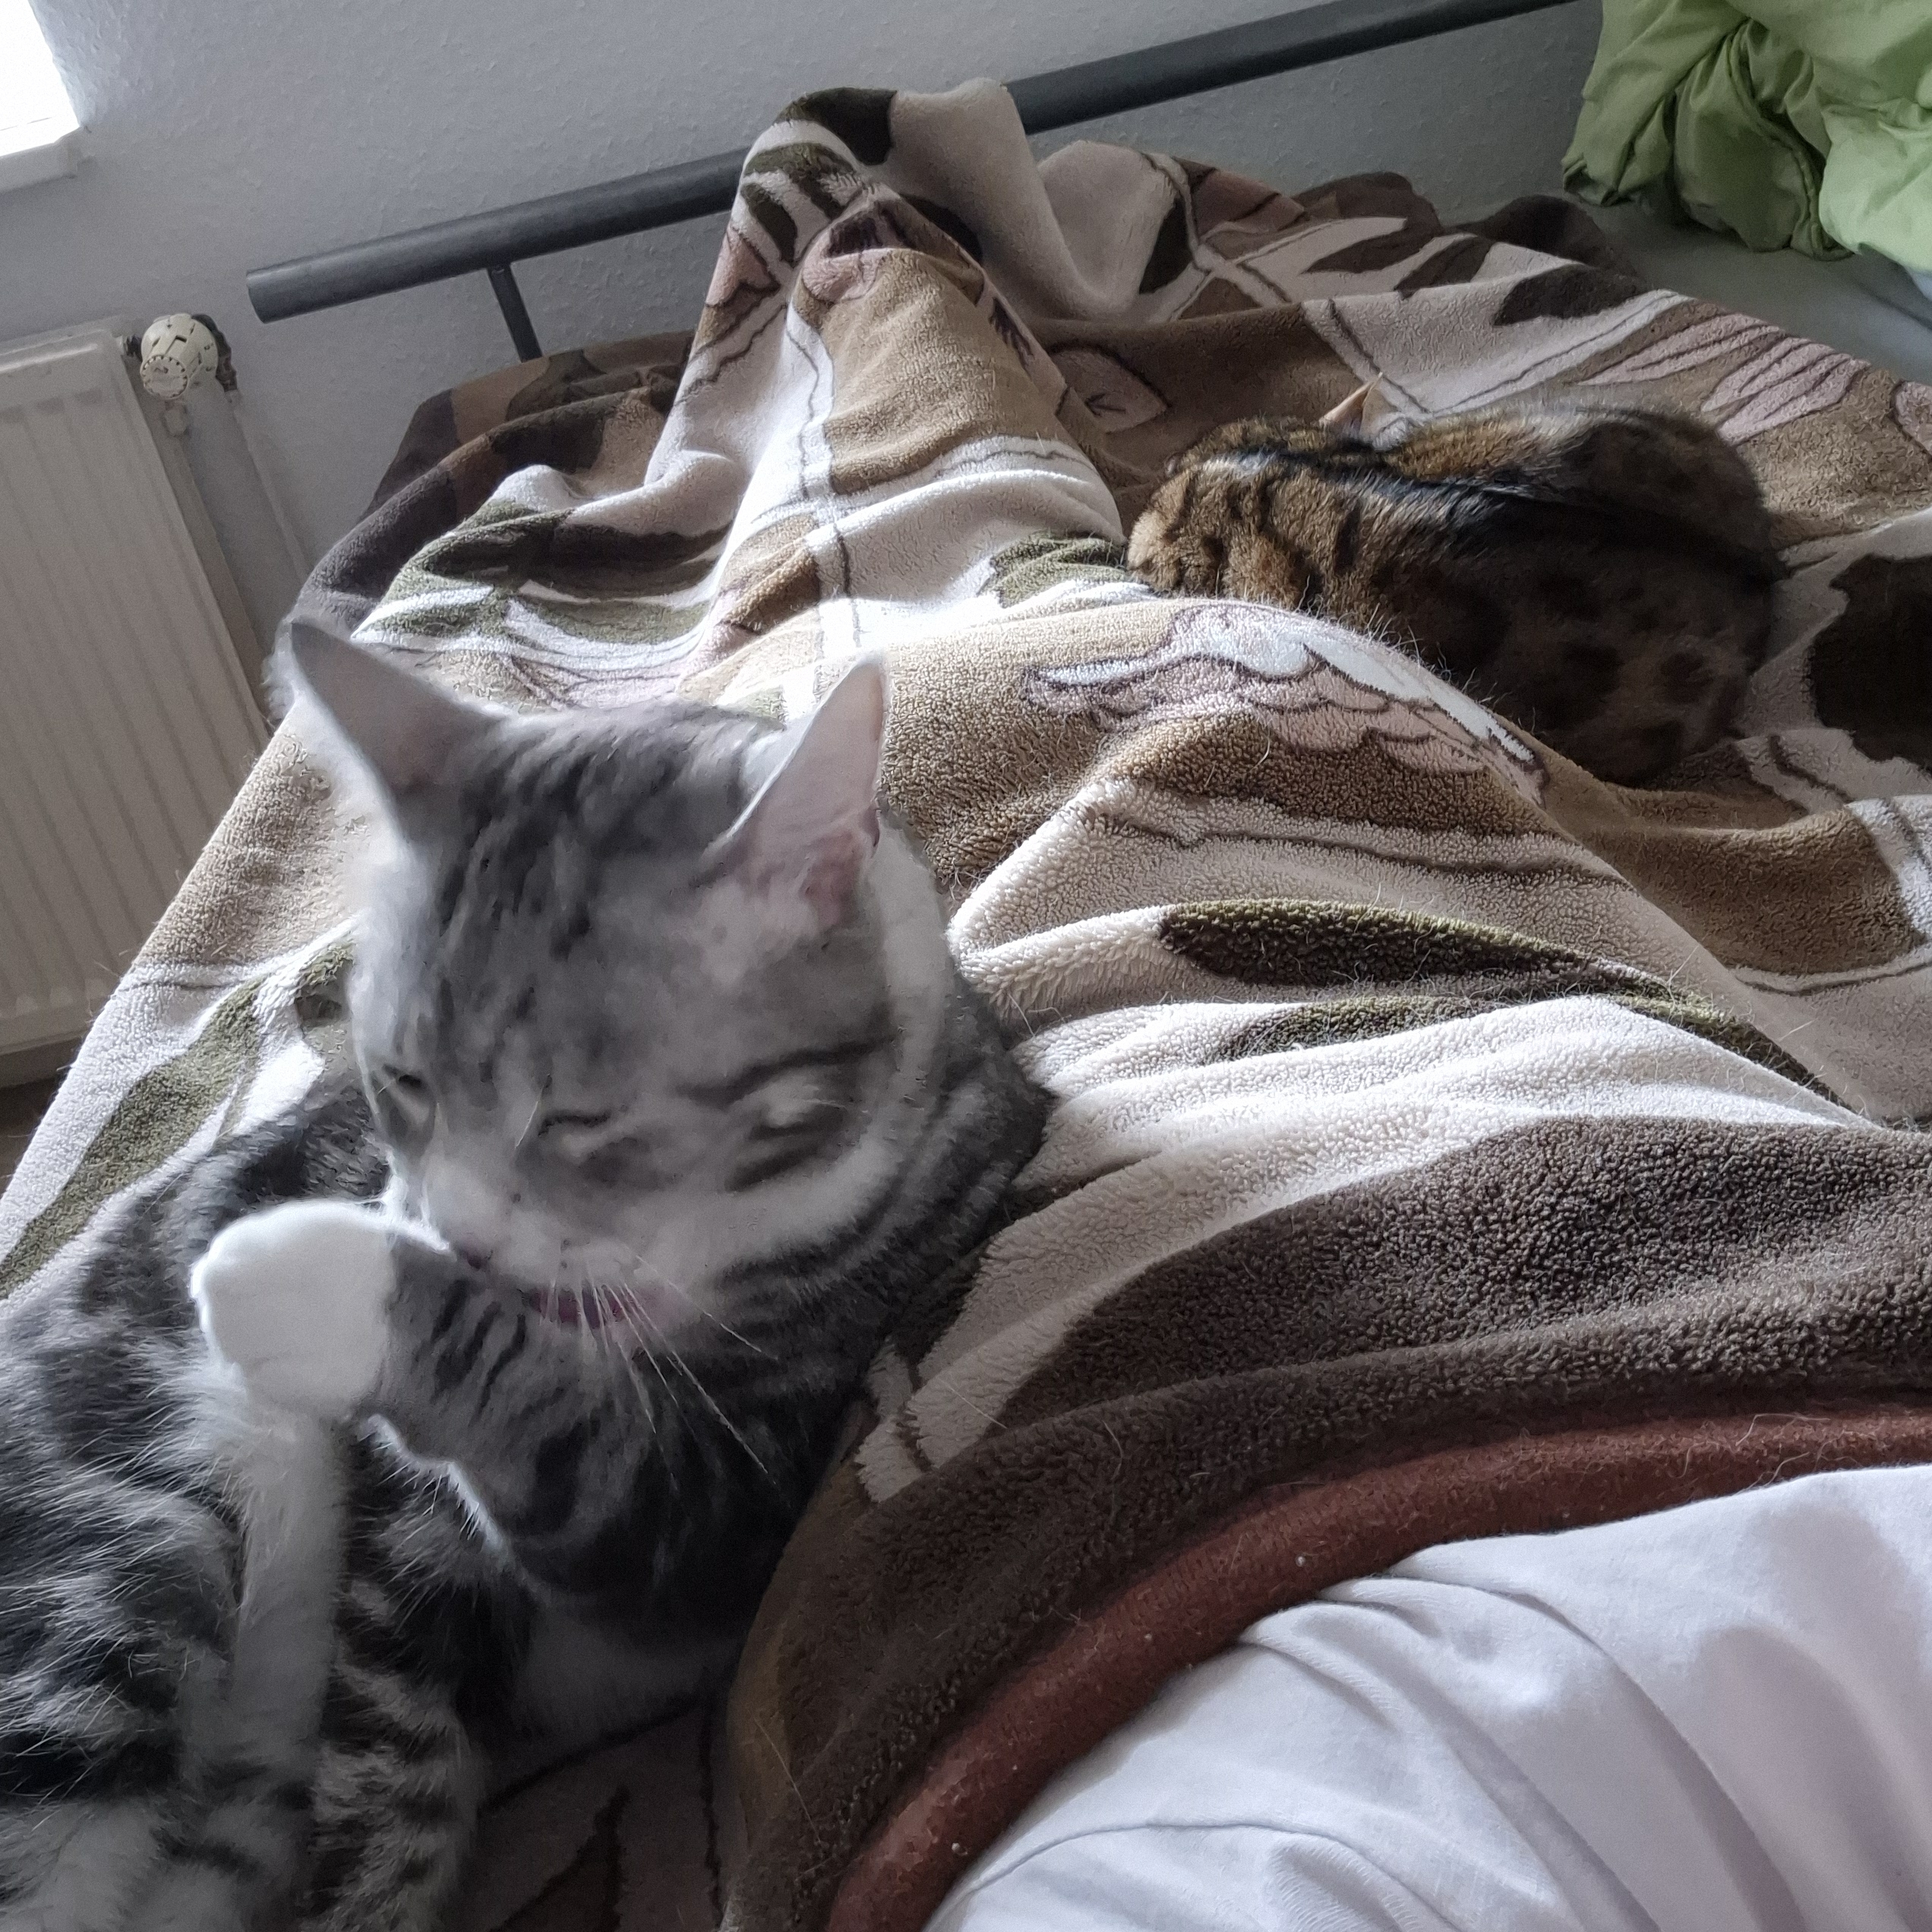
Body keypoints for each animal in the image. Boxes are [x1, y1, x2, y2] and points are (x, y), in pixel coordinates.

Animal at [0, 625, 1047, 1931]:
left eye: (579, 1119)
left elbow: (593, 1458)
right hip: (125, 1552)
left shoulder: (734, 1511)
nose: (456, 1236)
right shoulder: (402, 1547)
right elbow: (390, 1768)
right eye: (402, 1079)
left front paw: (326, 1286)